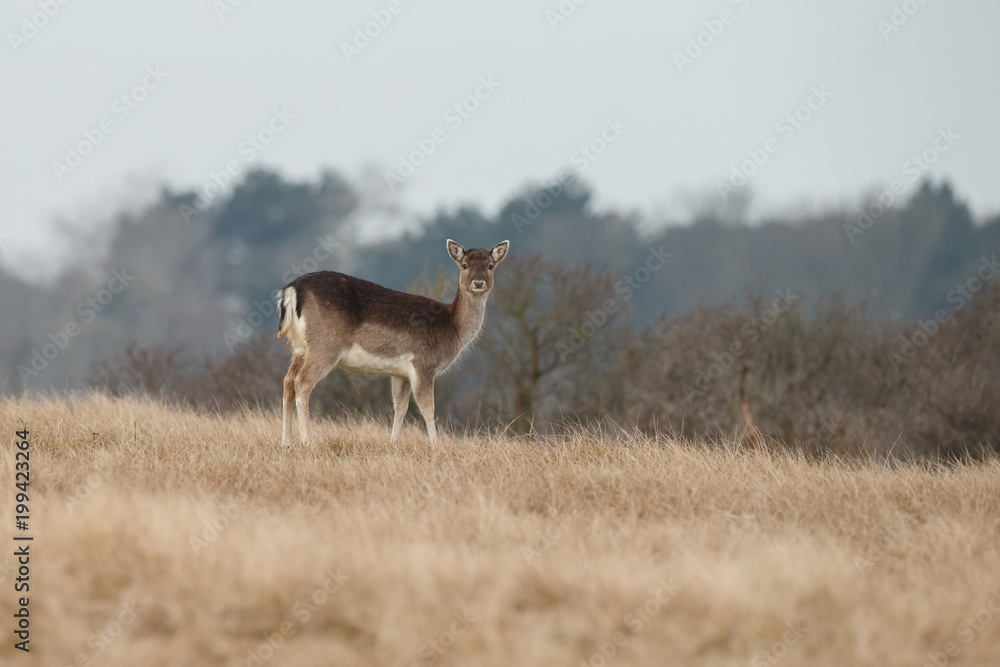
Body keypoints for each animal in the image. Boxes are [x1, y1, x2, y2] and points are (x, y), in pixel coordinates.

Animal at [275, 239, 509, 446]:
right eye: (464, 265)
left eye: (490, 265)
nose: (478, 283)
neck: (451, 328)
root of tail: (292, 290)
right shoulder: (423, 364)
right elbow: (428, 408)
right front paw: (436, 446)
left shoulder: (400, 373)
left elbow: (400, 407)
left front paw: (393, 444)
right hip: (325, 345)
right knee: (302, 382)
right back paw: (308, 441)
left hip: (300, 347)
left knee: (288, 381)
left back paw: (286, 443)